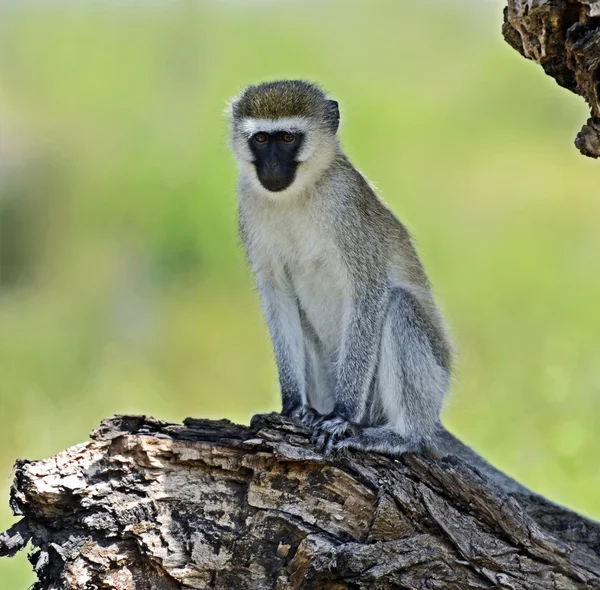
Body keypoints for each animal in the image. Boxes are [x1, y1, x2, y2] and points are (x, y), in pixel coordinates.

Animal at [232, 80, 528, 494]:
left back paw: (401, 436)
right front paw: (292, 407)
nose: (272, 168)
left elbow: (369, 292)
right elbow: (277, 296)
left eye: (287, 138)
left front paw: (342, 417)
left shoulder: (346, 207)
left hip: (427, 384)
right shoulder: (248, 204)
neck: (298, 195)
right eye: (260, 139)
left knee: (399, 307)